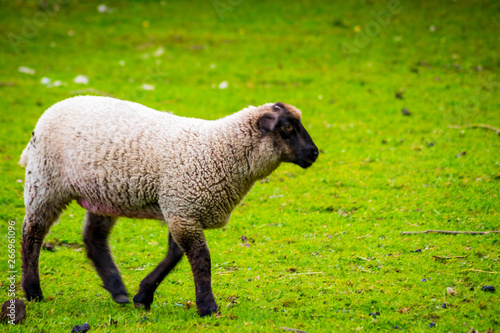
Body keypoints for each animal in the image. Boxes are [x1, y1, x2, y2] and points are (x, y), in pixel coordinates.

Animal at [19, 94, 318, 316]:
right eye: (287, 127)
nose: (314, 153)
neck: (219, 150)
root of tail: (59, 104)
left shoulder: (180, 209)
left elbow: (175, 255)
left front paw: (143, 295)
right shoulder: (182, 210)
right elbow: (201, 260)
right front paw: (208, 307)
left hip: (102, 194)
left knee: (93, 238)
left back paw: (118, 290)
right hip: (45, 183)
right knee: (32, 233)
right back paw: (33, 292)